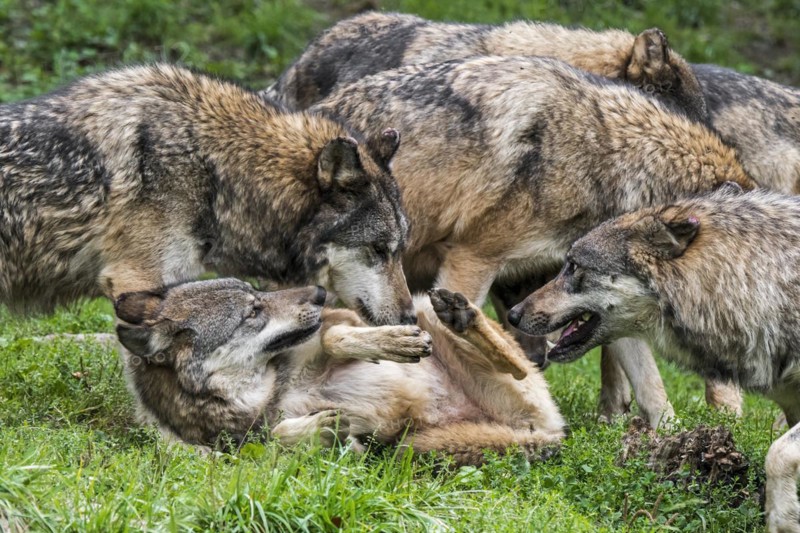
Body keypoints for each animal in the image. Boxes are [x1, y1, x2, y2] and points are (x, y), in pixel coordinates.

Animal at [114, 278, 566, 465]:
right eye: (252, 311)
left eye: (257, 292)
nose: (319, 292)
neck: (269, 390)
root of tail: (547, 431)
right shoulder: (233, 446)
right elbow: (274, 437)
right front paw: (325, 431)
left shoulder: (341, 318)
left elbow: (334, 337)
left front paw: (395, 344)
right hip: (423, 442)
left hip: (423, 307)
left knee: (517, 364)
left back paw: (461, 315)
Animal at [308, 55, 757, 428]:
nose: (733, 419)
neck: (605, 162)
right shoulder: (472, 259)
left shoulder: (610, 303)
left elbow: (650, 383)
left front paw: (671, 438)